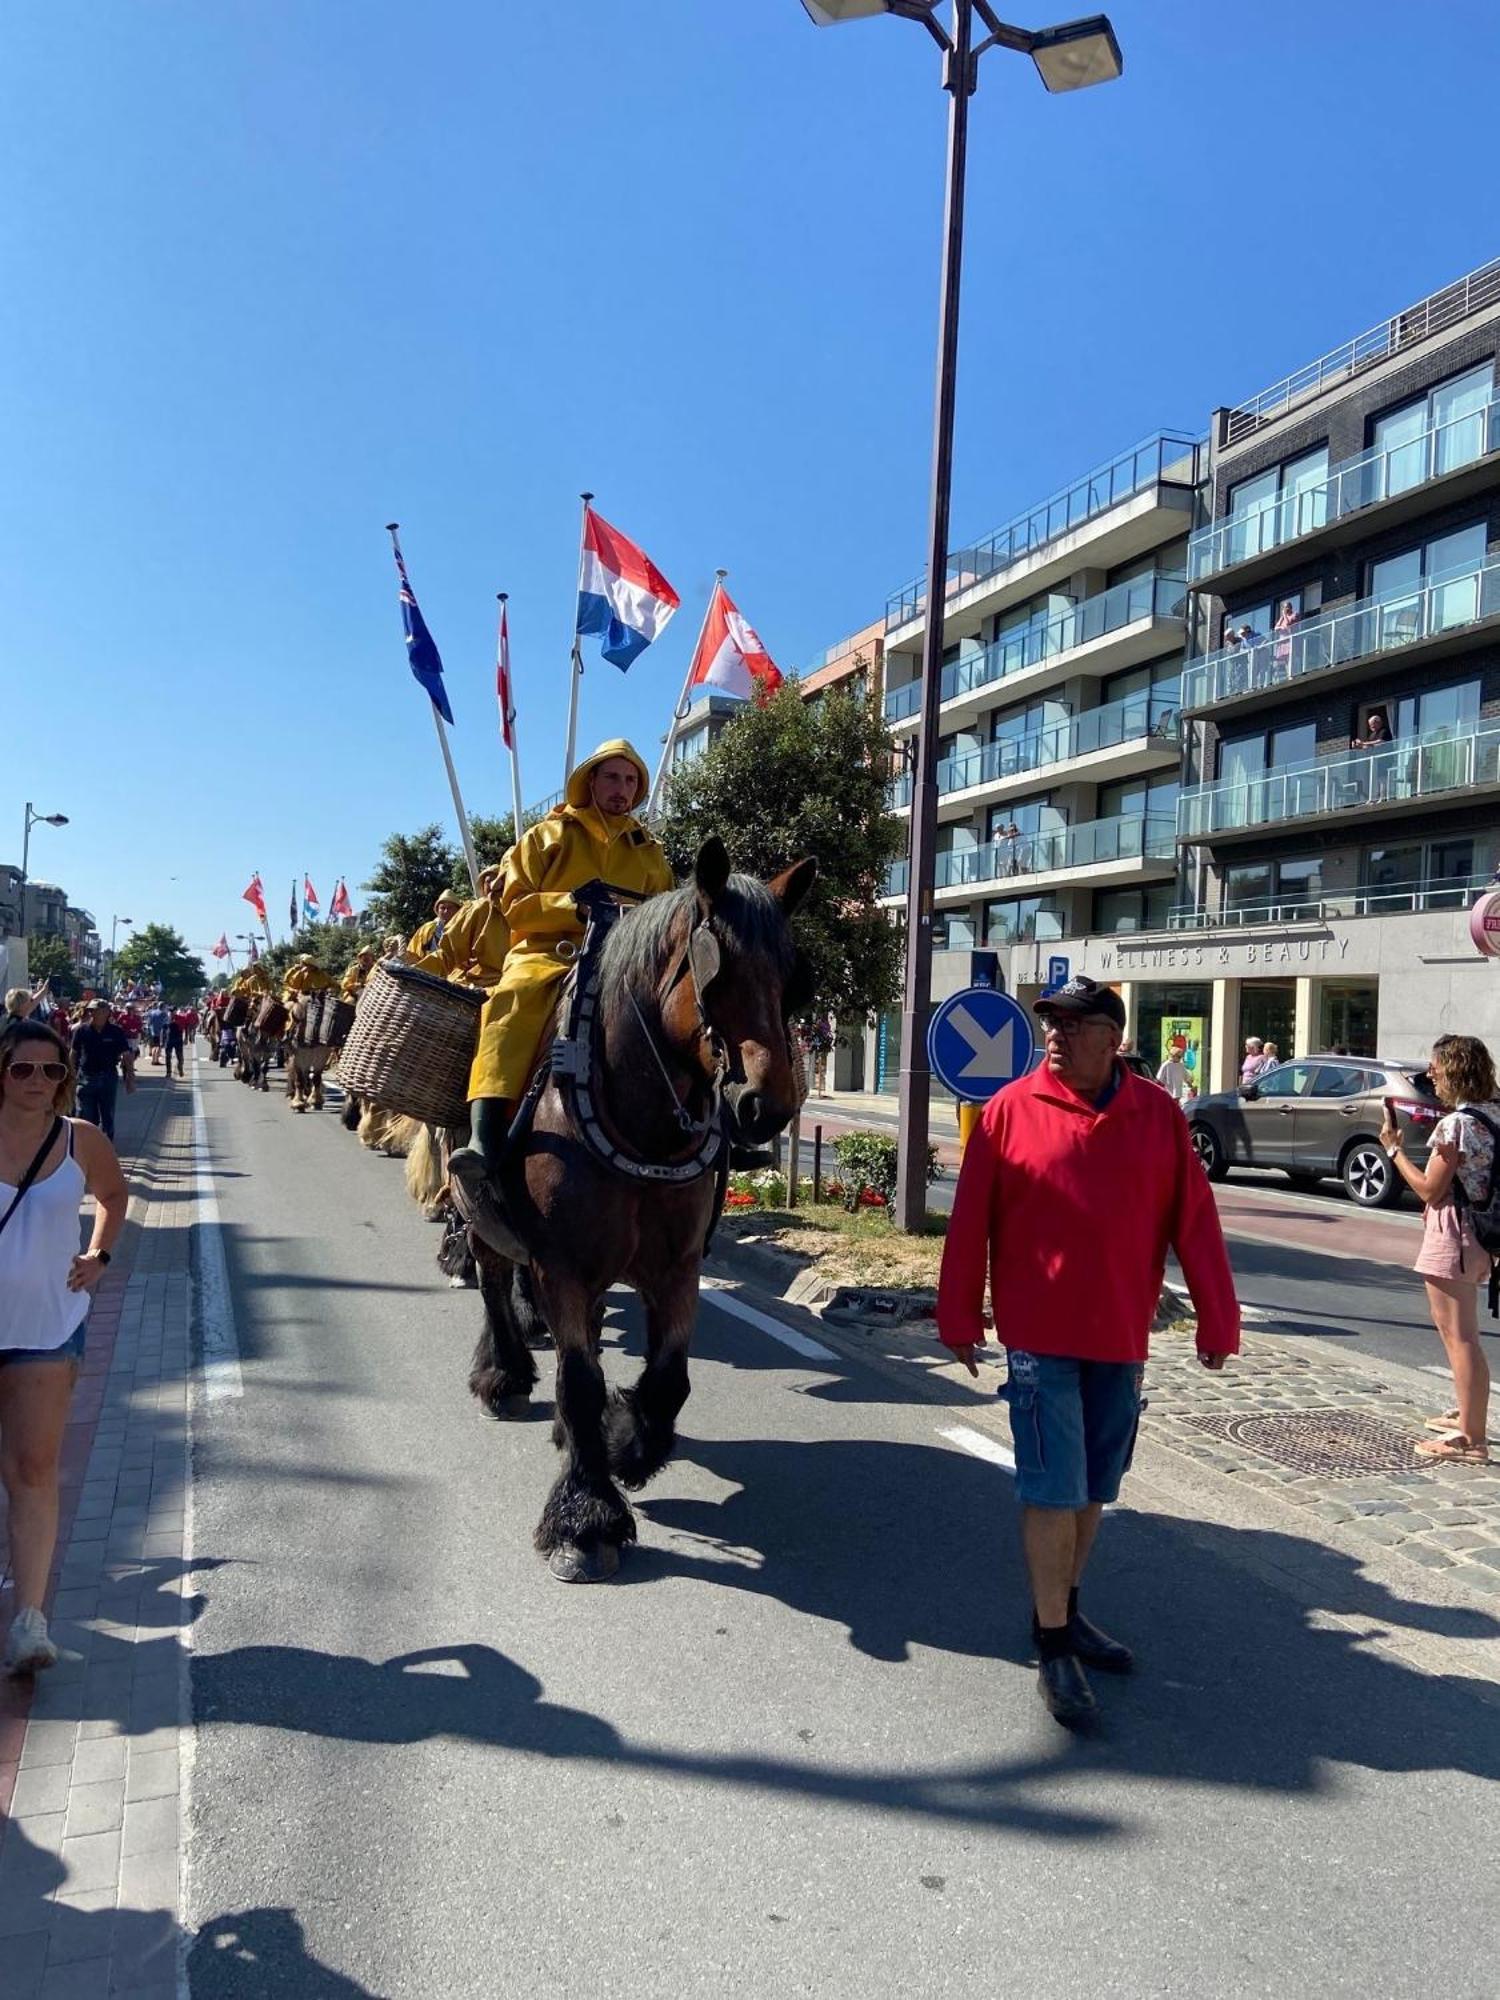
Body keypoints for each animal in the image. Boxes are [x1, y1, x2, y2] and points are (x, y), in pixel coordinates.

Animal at [472, 836, 816, 1584]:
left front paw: (625, 1444)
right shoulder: (562, 1267)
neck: (638, 1119)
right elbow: (578, 1378)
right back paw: (502, 1371)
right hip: (487, 1220)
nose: (767, 1107)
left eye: (791, 976)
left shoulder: (677, 1267)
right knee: (490, 1282)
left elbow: (668, 1380)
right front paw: (585, 1517)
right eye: (715, 973)